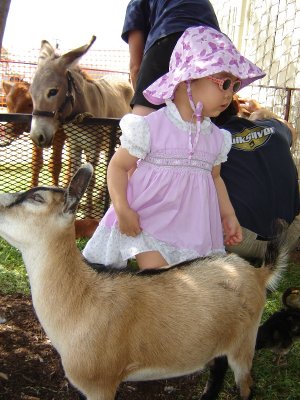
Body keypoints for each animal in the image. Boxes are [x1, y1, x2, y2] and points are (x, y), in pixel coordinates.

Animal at [0, 164, 288, 398]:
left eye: (36, 198)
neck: (83, 297)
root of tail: (257, 272)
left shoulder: (101, 382)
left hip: (244, 341)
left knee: (246, 383)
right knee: (218, 367)